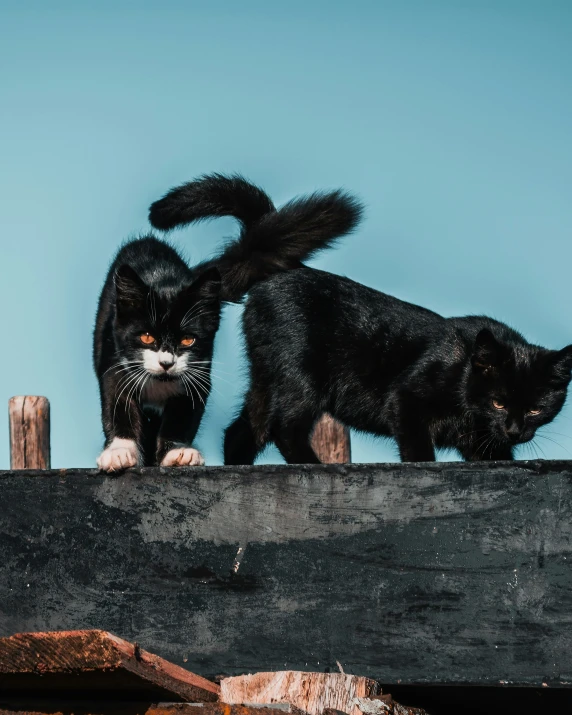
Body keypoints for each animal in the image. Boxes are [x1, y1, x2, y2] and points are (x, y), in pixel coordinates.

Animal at [94, 176, 362, 472]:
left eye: (188, 339)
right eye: (146, 337)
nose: (166, 363)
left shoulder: (200, 372)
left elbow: (184, 412)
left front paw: (176, 451)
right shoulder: (115, 360)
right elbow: (118, 403)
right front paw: (120, 451)